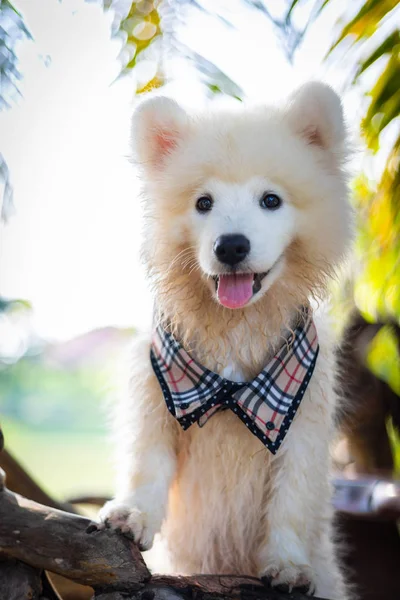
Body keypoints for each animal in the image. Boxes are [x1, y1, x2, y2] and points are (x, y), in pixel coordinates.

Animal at [100, 81, 354, 600]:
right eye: (203, 203)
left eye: (271, 200)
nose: (231, 245)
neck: (235, 331)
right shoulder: (155, 397)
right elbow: (147, 464)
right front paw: (132, 512)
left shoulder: (304, 424)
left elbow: (291, 501)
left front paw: (288, 566)